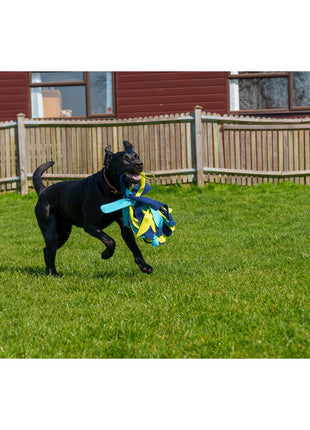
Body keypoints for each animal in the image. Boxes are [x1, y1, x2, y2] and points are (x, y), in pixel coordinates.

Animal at [32, 140, 153, 276]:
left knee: (46, 250)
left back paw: (48, 271)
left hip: (63, 233)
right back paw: (54, 273)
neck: (111, 190)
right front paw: (106, 254)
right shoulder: (90, 226)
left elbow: (135, 247)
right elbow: (110, 241)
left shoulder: (125, 227)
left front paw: (144, 266)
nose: (139, 164)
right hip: (51, 232)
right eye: (124, 159)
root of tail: (43, 191)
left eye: (137, 156)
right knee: (50, 251)